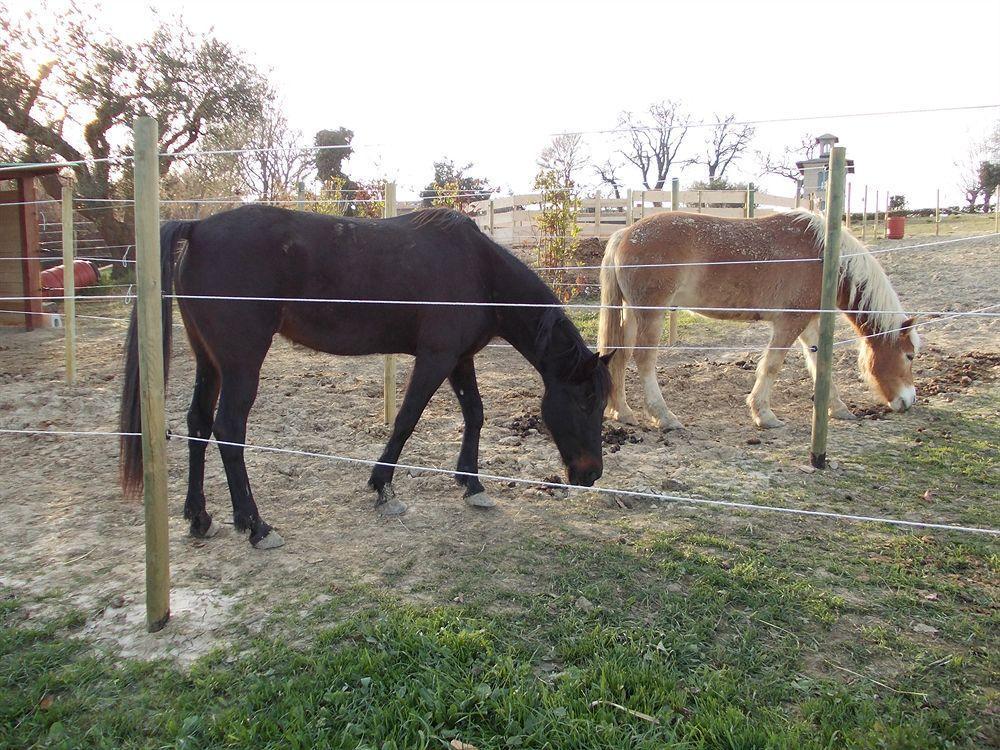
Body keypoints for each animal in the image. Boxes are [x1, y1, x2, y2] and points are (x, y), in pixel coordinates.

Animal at [122, 206, 612, 552]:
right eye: (586, 400)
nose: (591, 474)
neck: (479, 270)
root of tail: (198, 228)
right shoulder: (435, 359)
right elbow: (407, 420)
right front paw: (383, 487)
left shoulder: (459, 360)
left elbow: (475, 414)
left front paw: (472, 484)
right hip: (241, 364)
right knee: (228, 430)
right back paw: (256, 525)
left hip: (209, 361)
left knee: (199, 423)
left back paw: (199, 517)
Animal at [596, 212, 916, 432]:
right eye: (910, 355)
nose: (909, 401)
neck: (824, 255)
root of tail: (625, 233)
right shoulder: (790, 322)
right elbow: (772, 365)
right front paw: (764, 414)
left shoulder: (809, 324)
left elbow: (820, 365)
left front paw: (838, 408)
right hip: (651, 313)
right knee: (644, 360)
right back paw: (663, 416)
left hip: (632, 313)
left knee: (619, 356)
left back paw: (623, 412)